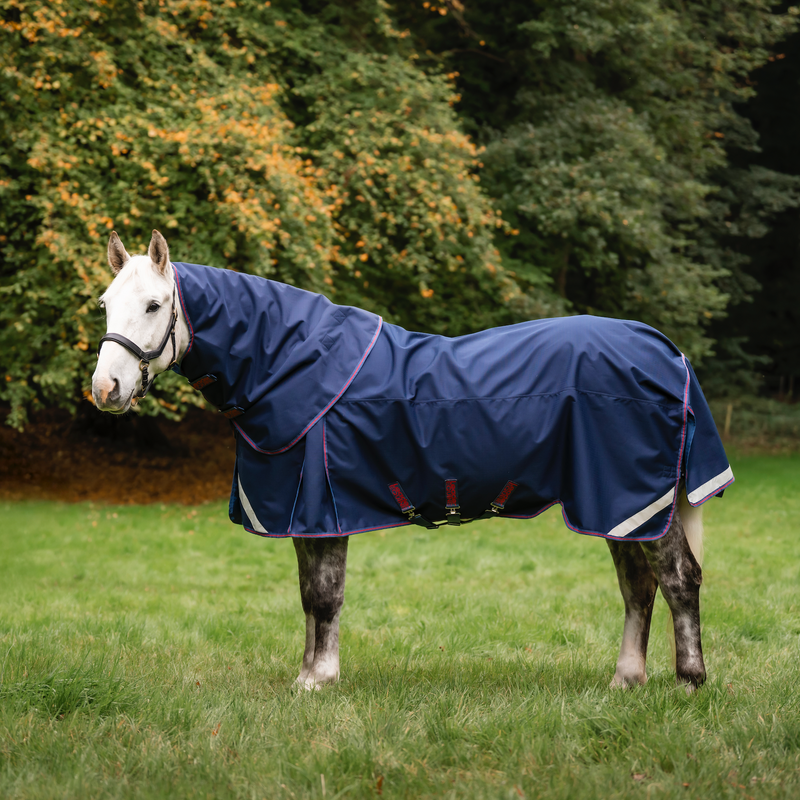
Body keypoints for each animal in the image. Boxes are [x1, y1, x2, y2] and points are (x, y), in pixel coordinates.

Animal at [92, 230, 733, 690]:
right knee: (637, 588)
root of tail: (667, 351)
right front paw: (308, 675)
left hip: (634, 499)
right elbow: (308, 595)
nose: (105, 389)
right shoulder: (306, 515)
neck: (293, 361)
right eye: (104, 304)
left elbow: (324, 596)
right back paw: (626, 680)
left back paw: (688, 682)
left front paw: (318, 681)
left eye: (154, 305)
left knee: (678, 579)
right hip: (617, 507)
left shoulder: (325, 508)